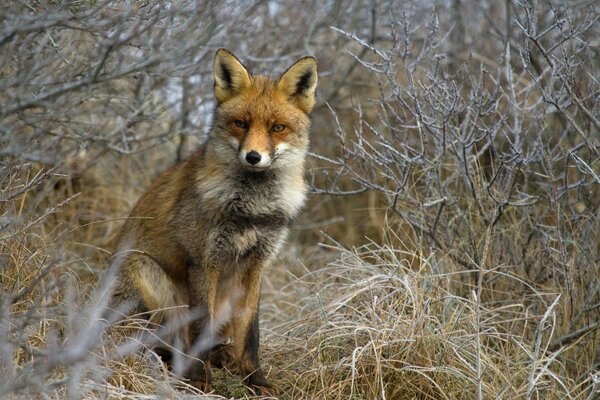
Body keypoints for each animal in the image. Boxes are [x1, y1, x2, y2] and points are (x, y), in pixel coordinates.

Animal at [109, 48, 318, 396]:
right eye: (240, 124)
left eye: (277, 127)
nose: (253, 157)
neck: (251, 211)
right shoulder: (204, 262)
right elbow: (201, 326)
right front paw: (199, 381)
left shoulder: (256, 266)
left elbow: (251, 334)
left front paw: (255, 381)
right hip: (142, 271)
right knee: (164, 342)